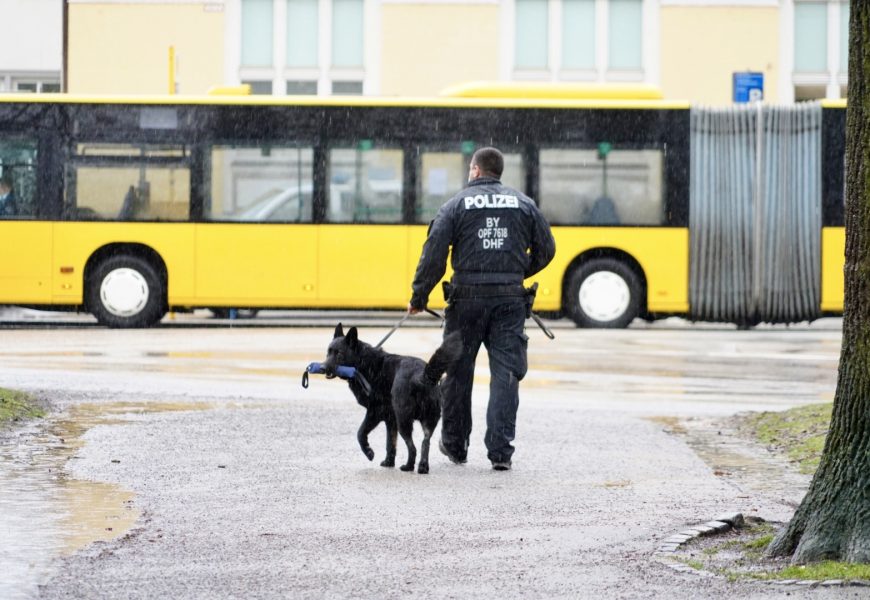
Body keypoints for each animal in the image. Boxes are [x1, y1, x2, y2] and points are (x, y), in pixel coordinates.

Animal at [326, 324, 464, 474]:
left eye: (339, 354)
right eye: (328, 352)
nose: (323, 367)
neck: (362, 362)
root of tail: (422, 376)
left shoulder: (375, 412)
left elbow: (360, 433)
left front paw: (369, 452)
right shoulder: (390, 419)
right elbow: (390, 443)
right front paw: (389, 462)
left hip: (403, 420)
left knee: (412, 447)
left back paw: (409, 466)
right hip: (426, 421)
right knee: (425, 442)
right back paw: (422, 467)